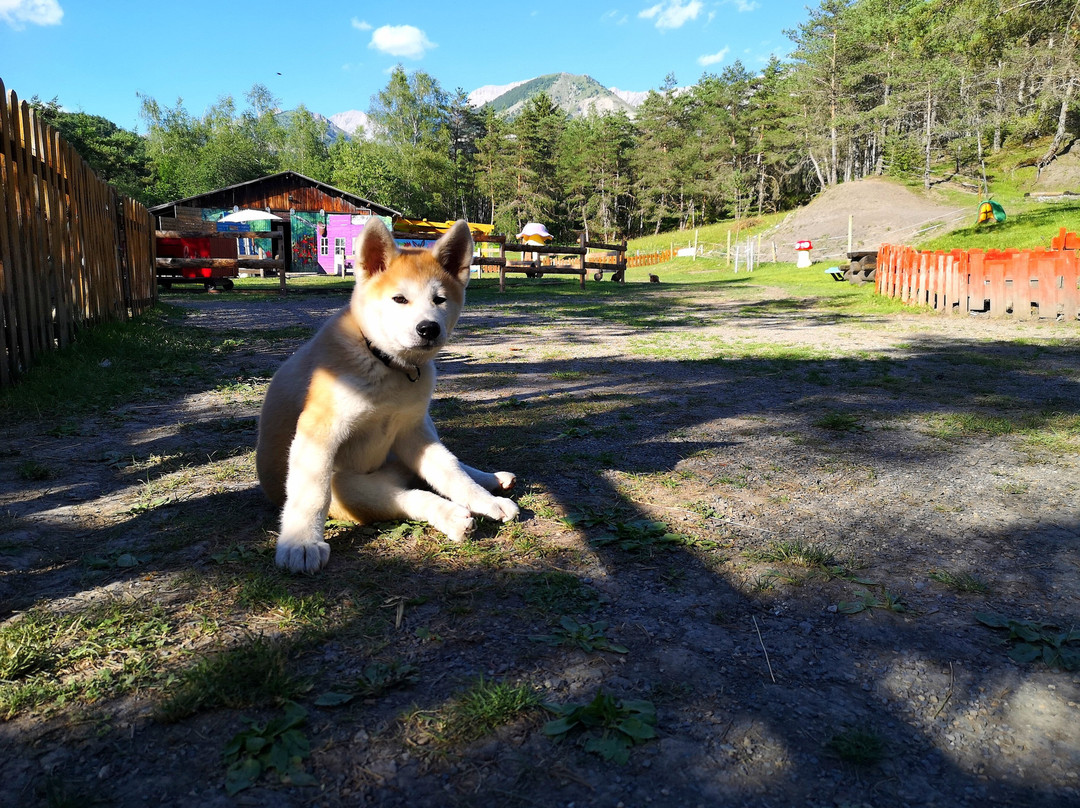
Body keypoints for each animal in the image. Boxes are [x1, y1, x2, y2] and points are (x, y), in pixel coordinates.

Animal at [257, 219, 518, 574]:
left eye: (439, 299)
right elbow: (312, 493)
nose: (428, 329)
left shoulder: (412, 433)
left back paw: (490, 483)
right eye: (399, 299)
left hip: (417, 435)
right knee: (410, 498)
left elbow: (452, 472)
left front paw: (486, 501)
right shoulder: (319, 433)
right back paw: (453, 517)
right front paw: (300, 544)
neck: (387, 365)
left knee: (450, 468)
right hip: (352, 487)